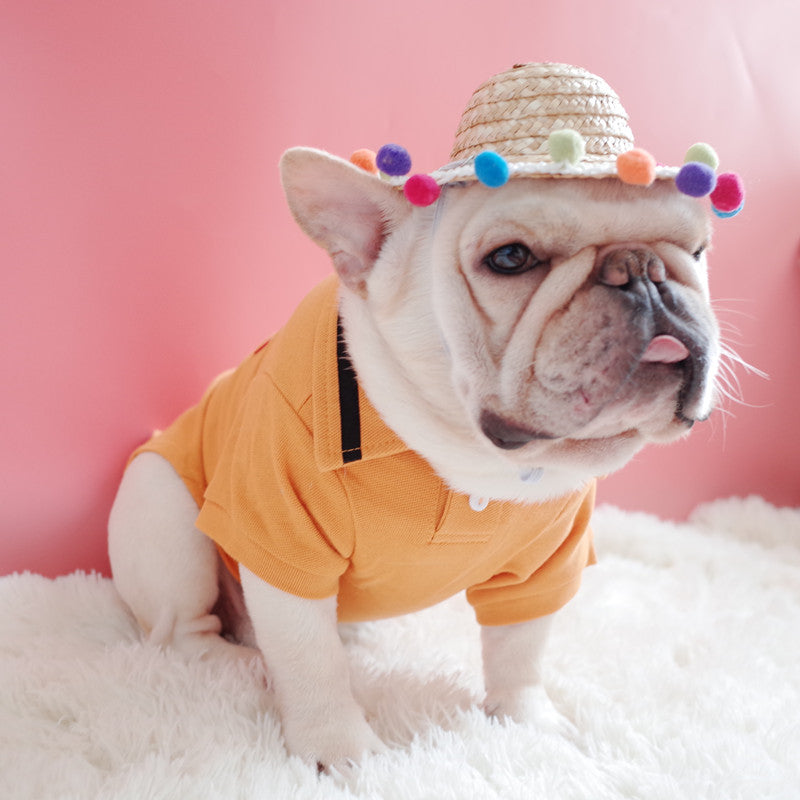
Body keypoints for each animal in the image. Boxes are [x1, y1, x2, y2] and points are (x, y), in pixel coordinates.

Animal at [109, 64, 736, 768]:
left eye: (698, 251)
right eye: (511, 258)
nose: (642, 269)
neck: (467, 455)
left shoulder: (546, 564)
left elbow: (522, 649)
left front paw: (529, 724)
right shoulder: (283, 544)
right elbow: (309, 661)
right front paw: (342, 751)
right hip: (163, 513)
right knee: (181, 631)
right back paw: (236, 663)